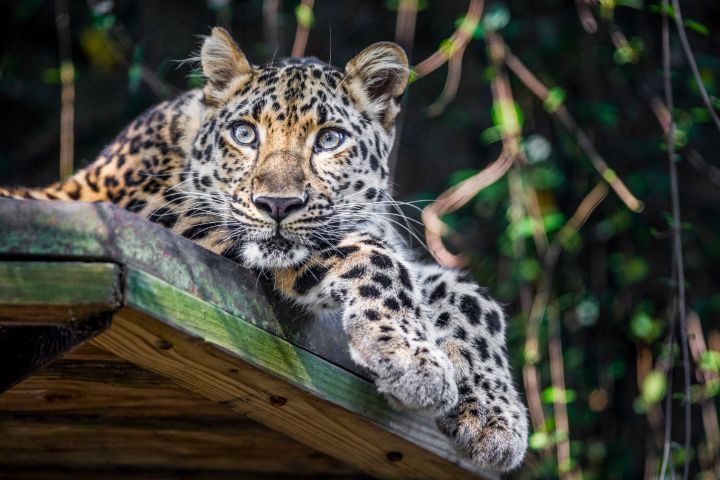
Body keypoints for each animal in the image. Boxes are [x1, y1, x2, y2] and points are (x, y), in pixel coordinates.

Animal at [0, 28, 528, 472]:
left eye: (329, 140)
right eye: (245, 134)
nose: (277, 204)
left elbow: (474, 300)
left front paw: (497, 419)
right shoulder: (164, 213)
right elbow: (376, 256)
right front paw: (408, 359)